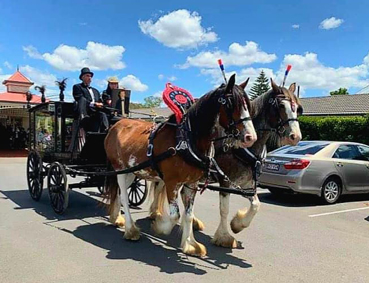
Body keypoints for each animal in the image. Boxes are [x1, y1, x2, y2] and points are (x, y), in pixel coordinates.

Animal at [103, 75, 256, 258]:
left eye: (248, 105)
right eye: (231, 104)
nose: (250, 137)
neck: (187, 140)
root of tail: (116, 125)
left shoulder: (192, 184)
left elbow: (188, 215)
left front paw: (190, 245)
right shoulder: (172, 183)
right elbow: (175, 216)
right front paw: (159, 227)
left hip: (132, 172)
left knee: (120, 193)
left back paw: (118, 219)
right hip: (119, 169)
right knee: (124, 197)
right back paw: (130, 230)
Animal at [150, 79, 302, 250]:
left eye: (297, 107)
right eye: (281, 105)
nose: (296, 136)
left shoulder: (246, 183)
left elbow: (256, 204)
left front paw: (238, 224)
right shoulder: (225, 181)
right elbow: (224, 209)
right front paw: (224, 237)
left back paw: (191, 222)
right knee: (159, 187)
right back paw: (155, 213)